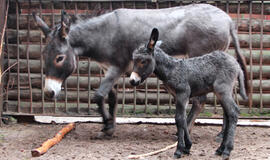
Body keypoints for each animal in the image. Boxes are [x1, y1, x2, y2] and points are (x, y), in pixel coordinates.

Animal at [130, 28, 248, 159]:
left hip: (223, 90)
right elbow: (182, 119)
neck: (172, 69)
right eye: (134, 60)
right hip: (222, 92)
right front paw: (187, 147)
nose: (132, 81)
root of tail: (236, 64)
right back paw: (220, 149)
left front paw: (179, 150)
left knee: (233, 112)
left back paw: (227, 150)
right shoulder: (177, 97)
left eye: (143, 61)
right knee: (228, 114)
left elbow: (179, 119)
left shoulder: (183, 94)